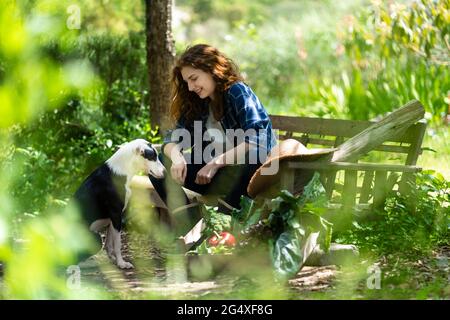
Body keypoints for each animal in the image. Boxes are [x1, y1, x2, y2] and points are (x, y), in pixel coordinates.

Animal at [74, 139, 165, 268]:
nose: (165, 172)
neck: (122, 170)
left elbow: (109, 243)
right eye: (152, 157)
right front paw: (122, 263)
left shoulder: (113, 219)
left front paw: (113, 259)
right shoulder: (116, 214)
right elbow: (117, 243)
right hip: (95, 239)